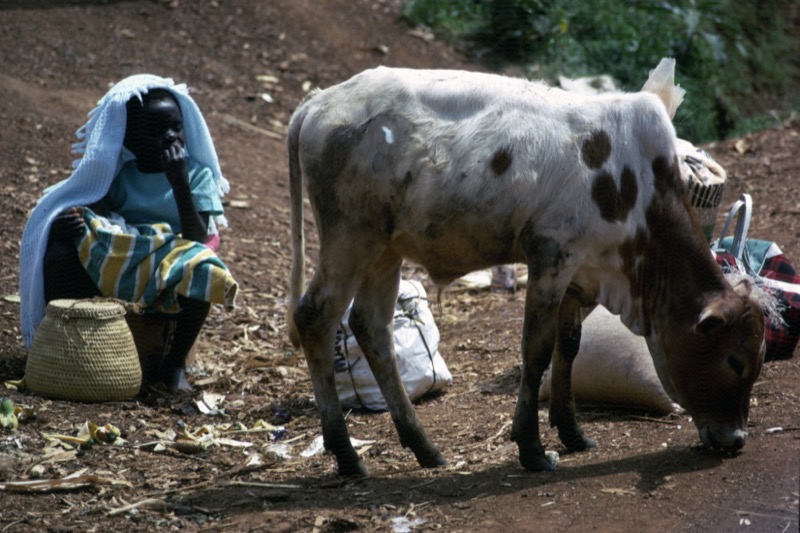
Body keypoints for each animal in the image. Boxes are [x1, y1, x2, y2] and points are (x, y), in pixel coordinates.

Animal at [284, 64, 764, 476]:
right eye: (735, 361)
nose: (737, 439)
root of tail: (319, 101)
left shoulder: (581, 273)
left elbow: (568, 346)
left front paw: (572, 434)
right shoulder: (552, 256)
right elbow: (536, 349)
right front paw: (532, 448)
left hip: (384, 249)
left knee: (371, 327)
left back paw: (423, 447)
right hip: (348, 238)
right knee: (315, 318)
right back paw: (346, 454)